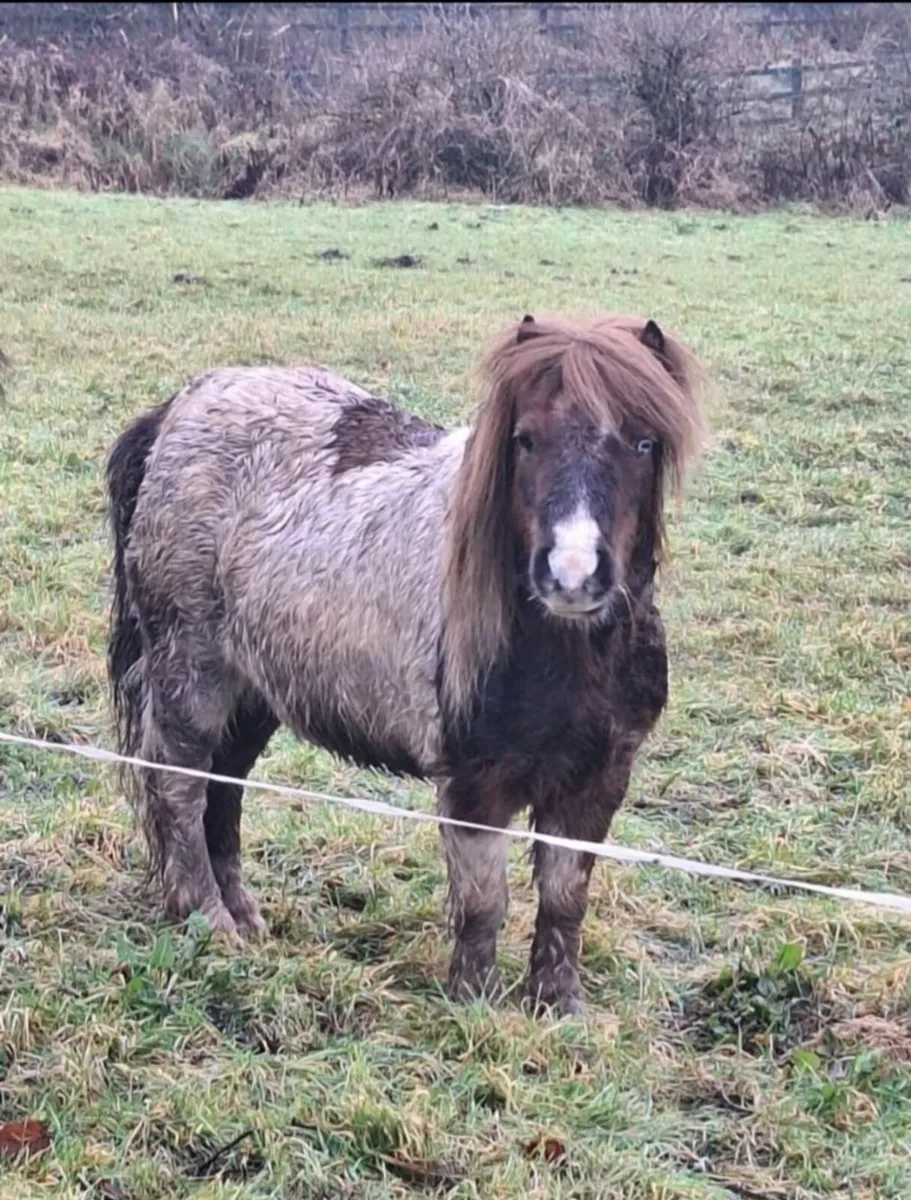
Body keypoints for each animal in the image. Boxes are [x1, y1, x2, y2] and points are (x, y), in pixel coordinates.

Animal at [106, 313, 706, 1014]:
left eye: (643, 443)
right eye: (525, 440)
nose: (572, 574)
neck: (565, 653)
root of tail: (183, 404)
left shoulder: (599, 779)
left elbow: (565, 900)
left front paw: (559, 1008)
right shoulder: (474, 782)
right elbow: (483, 902)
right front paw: (474, 1005)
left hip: (255, 692)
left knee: (224, 785)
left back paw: (244, 915)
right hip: (193, 673)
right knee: (179, 784)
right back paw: (206, 916)